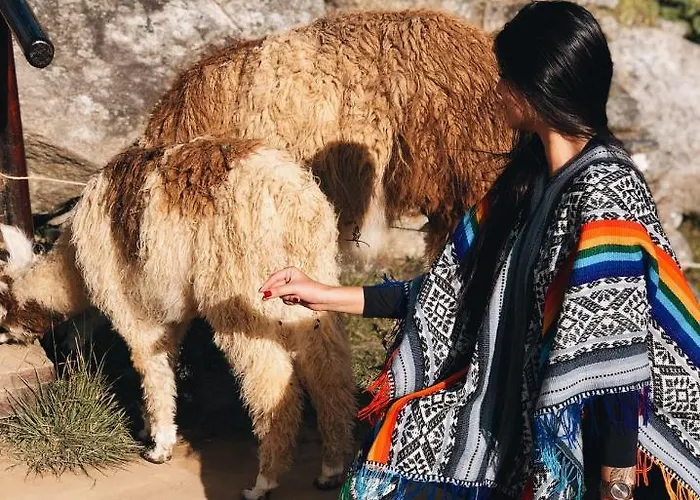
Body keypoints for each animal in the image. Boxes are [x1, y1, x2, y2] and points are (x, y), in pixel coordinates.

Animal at [0, 136, 356, 500]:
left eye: (1, 302)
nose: (3, 334)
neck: (71, 266)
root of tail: (288, 196)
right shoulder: (171, 312)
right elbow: (164, 364)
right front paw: (150, 428)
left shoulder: (134, 305)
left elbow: (149, 367)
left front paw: (158, 447)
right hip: (311, 280)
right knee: (328, 367)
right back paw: (331, 469)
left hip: (242, 292)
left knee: (271, 379)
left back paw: (263, 482)